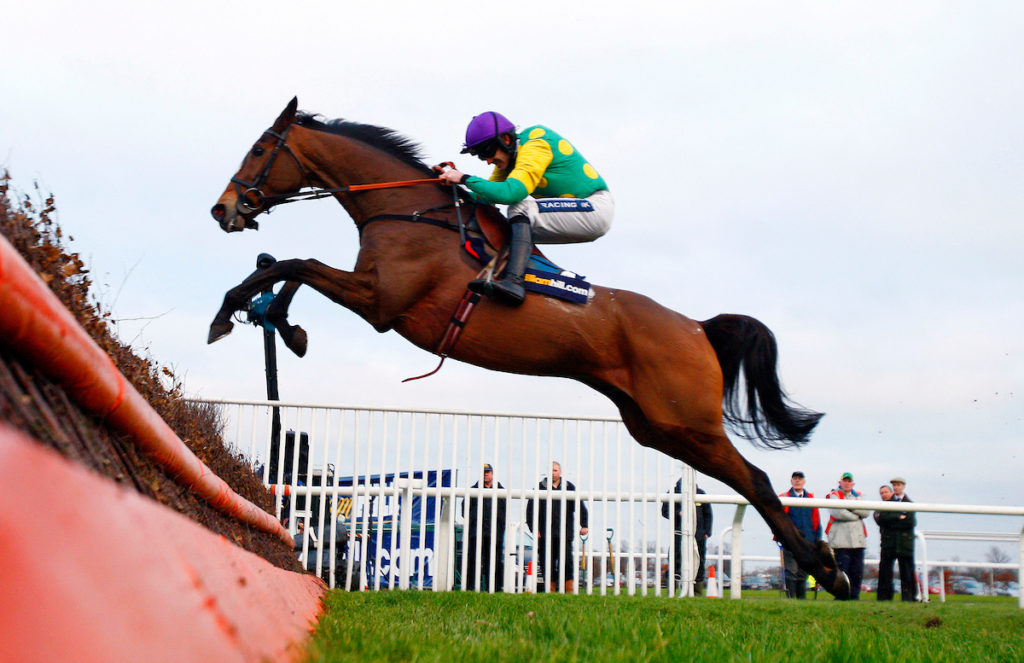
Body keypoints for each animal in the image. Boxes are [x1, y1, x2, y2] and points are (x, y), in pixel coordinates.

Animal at [205, 98, 847, 602]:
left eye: (260, 149)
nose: (223, 208)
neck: (411, 212)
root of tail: (696, 327)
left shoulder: (382, 302)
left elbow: (297, 263)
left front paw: (232, 313)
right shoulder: (372, 294)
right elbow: (292, 268)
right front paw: (281, 324)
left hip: (689, 422)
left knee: (757, 481)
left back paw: (829, 572)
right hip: (657, 427)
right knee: (744, 480)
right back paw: (826, 571)